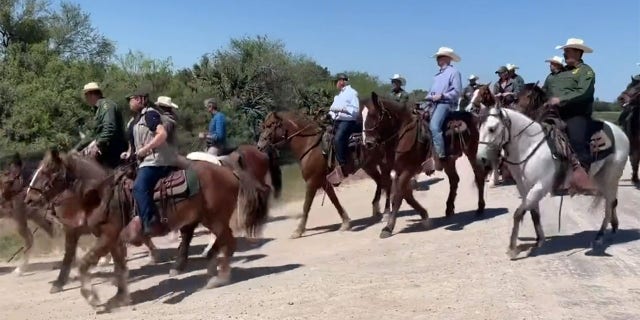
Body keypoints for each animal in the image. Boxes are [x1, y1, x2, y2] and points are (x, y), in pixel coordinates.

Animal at [24, 149, 270, 310]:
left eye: (48, 171)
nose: (28, 200)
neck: (101, 193)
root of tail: (227, 170)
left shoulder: (107, 236)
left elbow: (84, 264)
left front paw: (92, 297)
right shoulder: (113, 240)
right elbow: (120, 269)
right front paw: (121, 297)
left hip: (215, 218)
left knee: (228, 241)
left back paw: (219, 277)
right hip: (208, 218)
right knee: (220, 239)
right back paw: (208, 264)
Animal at [256, 110, 396, 238]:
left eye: (270, 125)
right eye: (264, 125)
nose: (259, 146)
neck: (309, 146)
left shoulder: (312, 182)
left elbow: (306, 206)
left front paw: (298, 230)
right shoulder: (324, 182)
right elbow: (335, 201)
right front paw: (345, 222)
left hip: (382, 163)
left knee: (387, 183)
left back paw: (386, 213)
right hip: (369, 165)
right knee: (380, 181)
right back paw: (376, 207)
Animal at [360, 91, 484, 239]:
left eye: (375, 115)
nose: (368, 143)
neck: (403, 134)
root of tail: (472, 117)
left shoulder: (408, 170)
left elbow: (398, 196)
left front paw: (388, 228)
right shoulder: (399, 170)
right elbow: (406, 194)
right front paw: (424, 216)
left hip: (471, 152)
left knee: (479, 176)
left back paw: (480, 208)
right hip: (449, 161)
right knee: (454, 180)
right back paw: (449, 209)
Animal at [476, 101, 632, 258]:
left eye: (492, 129)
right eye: (479, 127)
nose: (480, 159)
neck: (530, 146)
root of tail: (620, 133)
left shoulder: (540, 186)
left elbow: (518, 213)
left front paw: (512, 248)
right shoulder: (524, 187)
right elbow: (533, 212)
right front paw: (539, 240)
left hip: (610, 178)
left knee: (609, 204)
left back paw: (600, 236)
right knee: (612, 201)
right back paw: (614, 226)